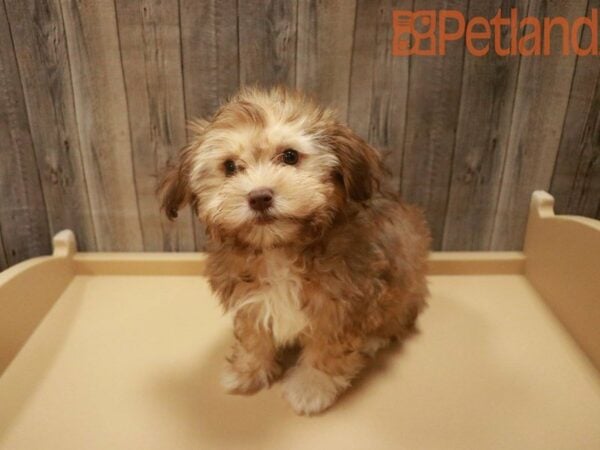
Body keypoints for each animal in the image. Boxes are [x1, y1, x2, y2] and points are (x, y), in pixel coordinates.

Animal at [159, 87, 432, 414]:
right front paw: (247, 371)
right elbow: (253, 336)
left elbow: (328, 350)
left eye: (290, 156)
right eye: (229, 167)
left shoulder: (341, 305)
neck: (279, 247)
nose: (259, 197)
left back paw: (373, 340)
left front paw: (311, 388)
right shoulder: (250, 298)